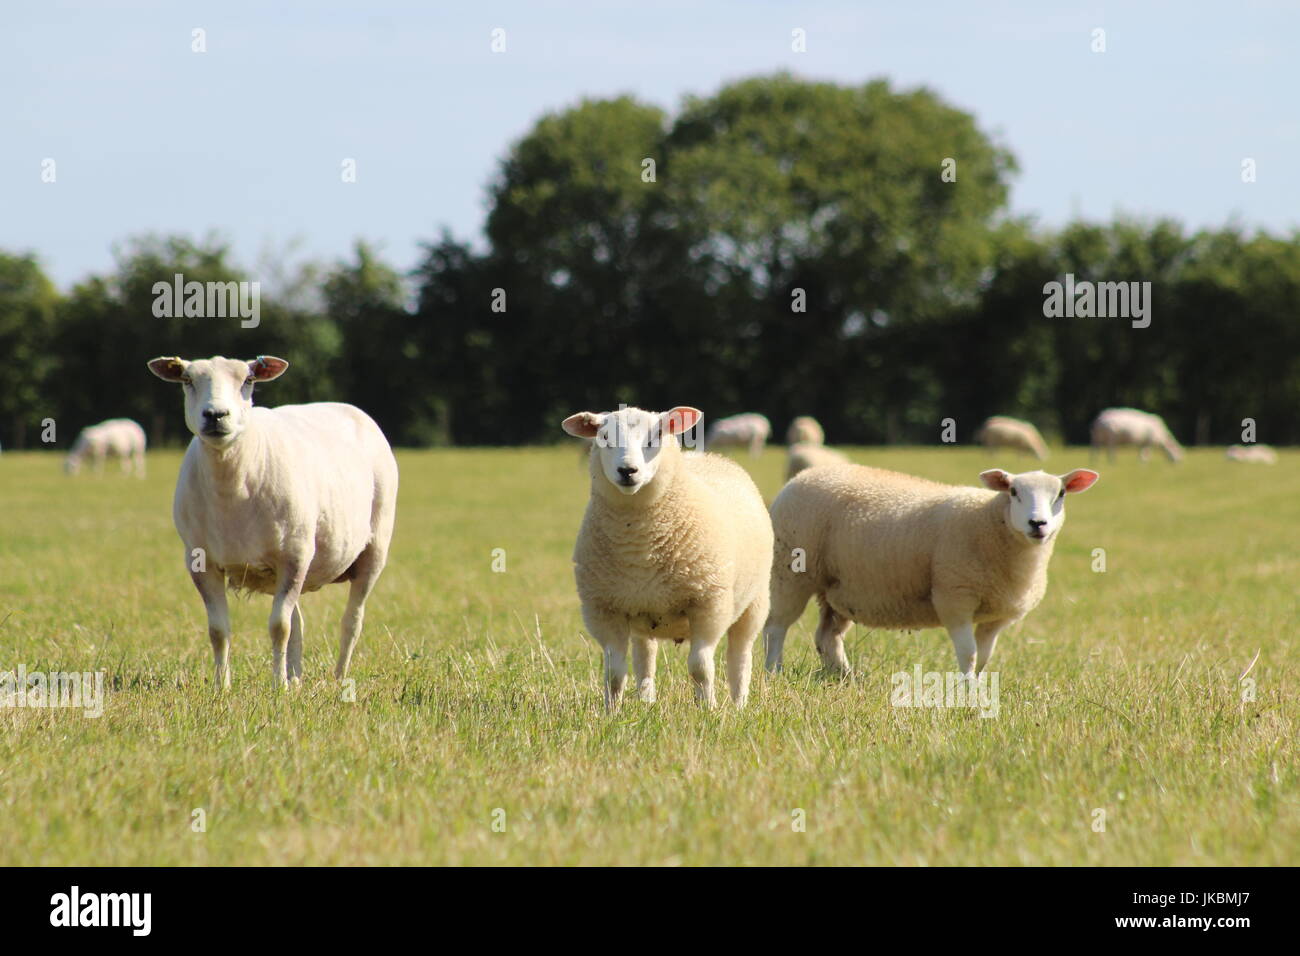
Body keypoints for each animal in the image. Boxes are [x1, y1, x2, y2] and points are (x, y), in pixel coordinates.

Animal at [148, 356, 397, 691]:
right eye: (187, 380)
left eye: (248, 380)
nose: (215, 415)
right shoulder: (201, 562)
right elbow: (219, 631)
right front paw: (222, 687)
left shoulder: (295, 555)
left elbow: (279, 627)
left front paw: (278, 686)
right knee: (300, 622)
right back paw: (297, 677)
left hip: (374, 549)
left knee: (352, 621)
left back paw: (338, 677)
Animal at [559, 403, 769, 712]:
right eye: (605, 437)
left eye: (655, 436)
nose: (628, 471)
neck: (638, 545)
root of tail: (709, 456)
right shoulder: (604, 610)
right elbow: (614, 671)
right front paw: (611, 713)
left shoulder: (709, 605)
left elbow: (700, 667)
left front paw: (708, 709)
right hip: (641, 611)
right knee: (645, 657)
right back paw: (646, 701)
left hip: (755, 602)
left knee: (740, 656)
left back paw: (739, 704)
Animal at [759, 465, 1097, 676]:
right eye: (1013, 491)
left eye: (1061, 494)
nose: (1037, 524)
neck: (991, 522)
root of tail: (801, 476)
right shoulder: (954, 597)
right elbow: (969, 653)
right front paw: (966, 691)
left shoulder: (997, 617)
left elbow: (984, 657)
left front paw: (978, 687)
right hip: (790, 570)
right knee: (776, 627)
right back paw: (774, 671)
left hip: (838, 588)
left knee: (827, 636)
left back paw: (843, 675)